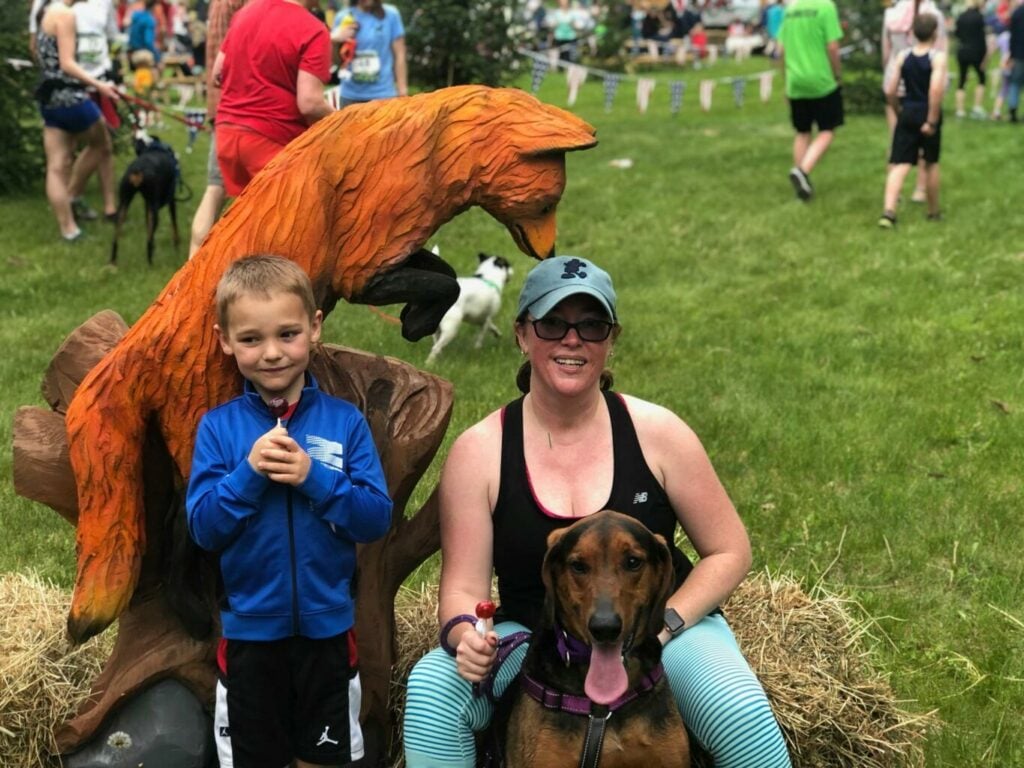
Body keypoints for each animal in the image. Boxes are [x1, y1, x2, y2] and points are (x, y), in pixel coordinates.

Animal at [113, 137, 183, 268]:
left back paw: (112, 262)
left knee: (115, 238)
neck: (153, 147)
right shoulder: (170, 200)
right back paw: (151, 264)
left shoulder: (147, 205)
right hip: (154, 211)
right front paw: (176, 246)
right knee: (149, 242)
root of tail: (138, 170)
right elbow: (174, 225)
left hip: (123, 206)